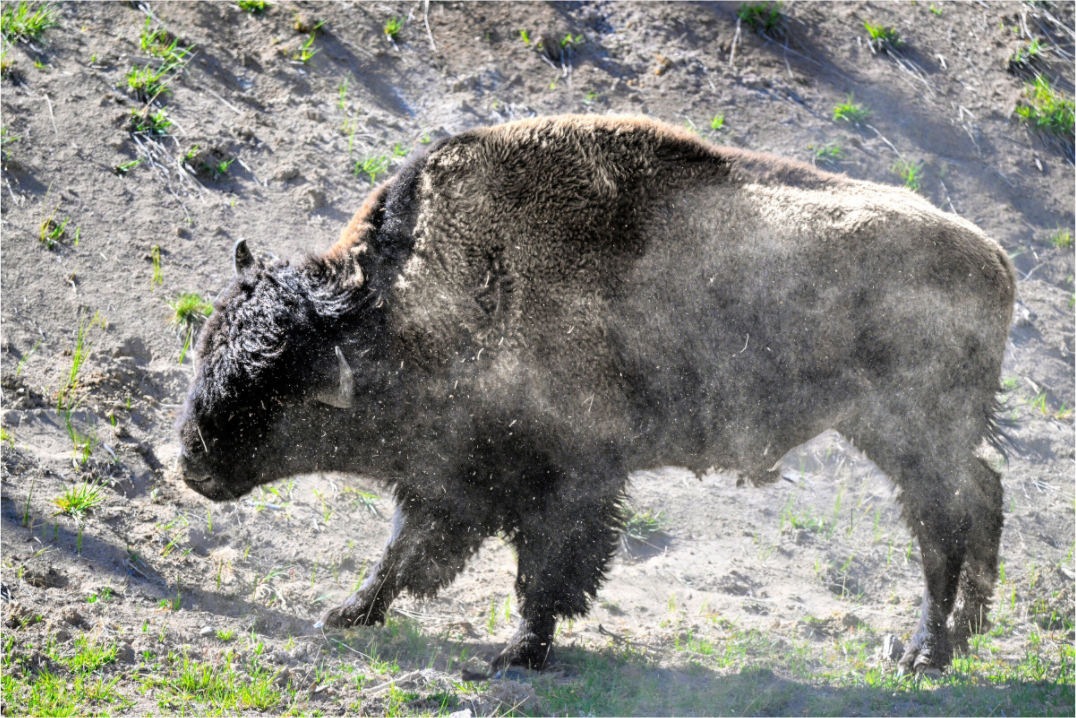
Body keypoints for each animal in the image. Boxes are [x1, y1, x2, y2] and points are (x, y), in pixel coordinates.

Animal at [178, 115, 1015, 674]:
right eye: (209, 348)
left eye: (267, 386)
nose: (191, 462)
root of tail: (996, 258)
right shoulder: (453, 480)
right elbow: (407, 554)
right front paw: (348, 613)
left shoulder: (567, 482)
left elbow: (546, 573)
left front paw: (517, 653)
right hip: (907, 435)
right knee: (978, 498)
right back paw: (963, 633)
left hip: (911, 435)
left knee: (944, 523)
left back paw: (923, 654)